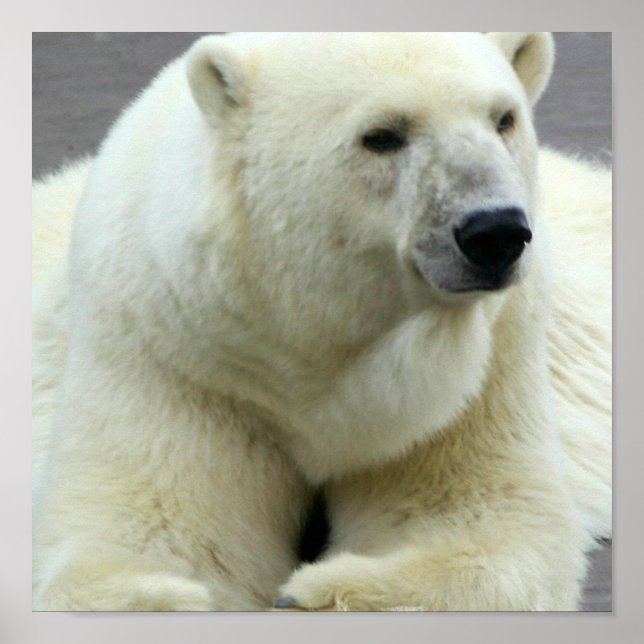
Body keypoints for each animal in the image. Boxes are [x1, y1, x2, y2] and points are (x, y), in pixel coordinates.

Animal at [32, 32, 611, 611]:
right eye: (382, 136)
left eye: (504, 119)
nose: (495, 232)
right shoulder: (175, 353)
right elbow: (162, 537)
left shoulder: (484, 363)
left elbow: (478, 521)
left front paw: (314, 591)